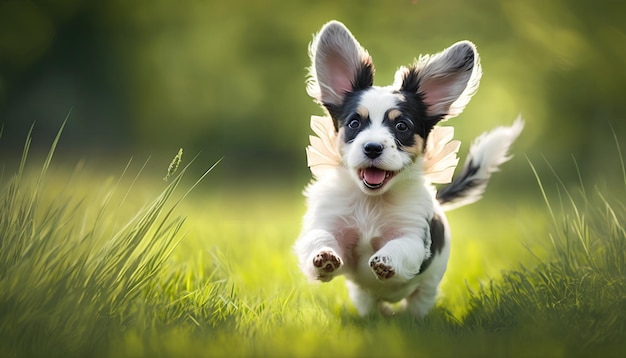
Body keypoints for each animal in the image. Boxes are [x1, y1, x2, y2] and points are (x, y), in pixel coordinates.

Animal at [292, 21, 520, 318]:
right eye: (354, 123)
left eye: (402, 126)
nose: (372, 147)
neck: (371, 202)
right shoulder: (330, 222)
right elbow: (319, 237)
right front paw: (324, 258)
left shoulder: (414, 235)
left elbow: (401, 246)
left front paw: (386, 259)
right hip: (363, 296)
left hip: (427, 290)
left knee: (418, 304)